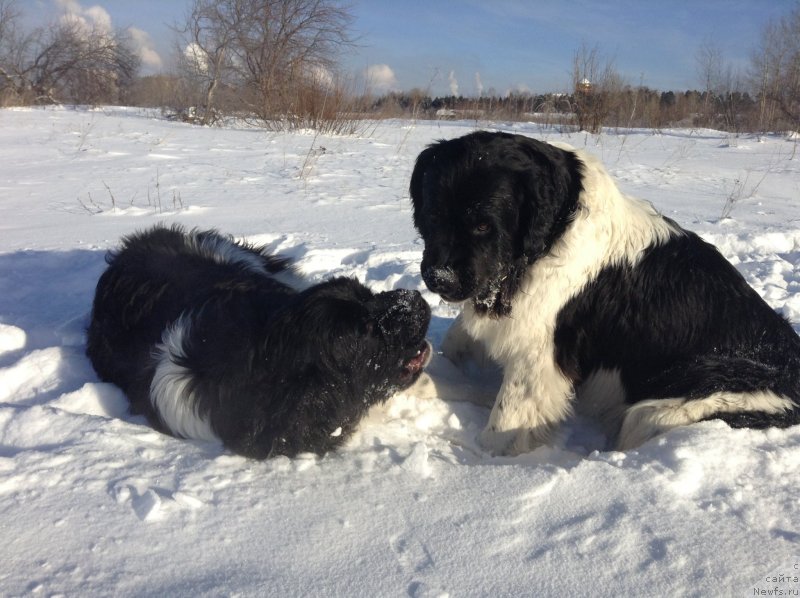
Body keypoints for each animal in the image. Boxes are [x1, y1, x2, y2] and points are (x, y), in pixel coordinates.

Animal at [412, 131, 800, 458]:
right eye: (432, 215)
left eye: (482, 225)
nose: (439, 278)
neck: (552, 234)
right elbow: (456, 340)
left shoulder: (537, 356)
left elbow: (501, 430)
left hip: (671, 407)